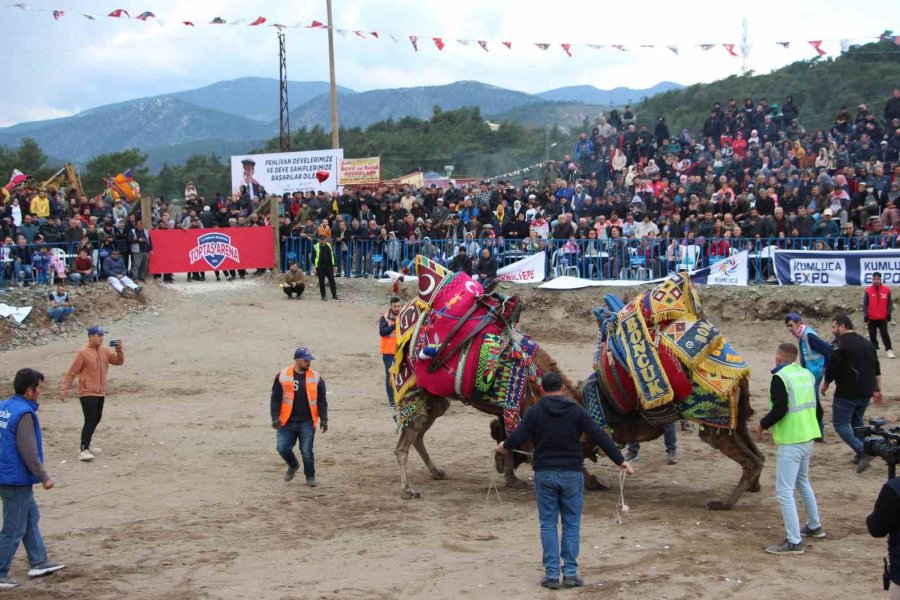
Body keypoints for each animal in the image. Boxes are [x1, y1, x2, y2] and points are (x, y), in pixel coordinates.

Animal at [390, 258, 764, 510]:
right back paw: (410, 488)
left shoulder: (519, 412)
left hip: (723, 420)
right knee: (408, 439)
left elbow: (519, 441)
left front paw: (514, 476)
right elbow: (525, 443)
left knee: (754, 458)